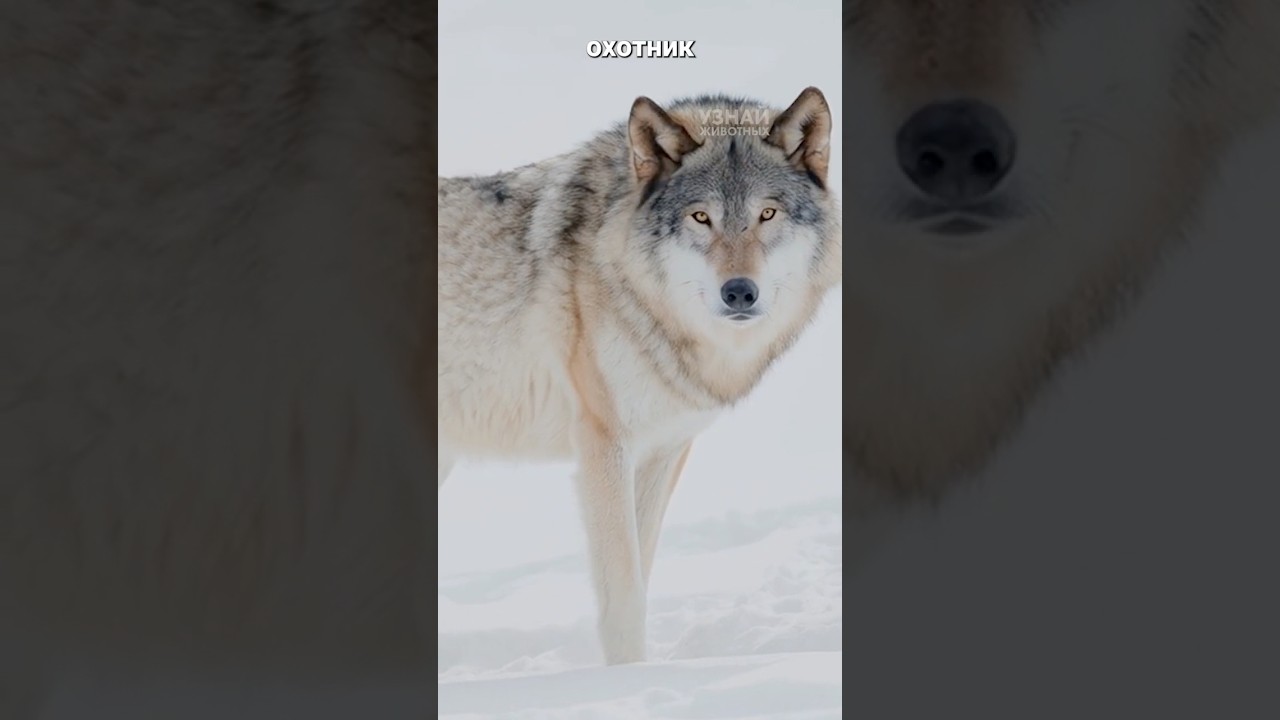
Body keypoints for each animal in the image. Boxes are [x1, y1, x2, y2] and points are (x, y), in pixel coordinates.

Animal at [437, 88, 842, 665]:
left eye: (767, 213)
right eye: (701, 217)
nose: (740, 292)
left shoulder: (662, 453)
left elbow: (641, 576)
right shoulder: (603, 445)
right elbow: (624, 593)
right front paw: (629, 676)